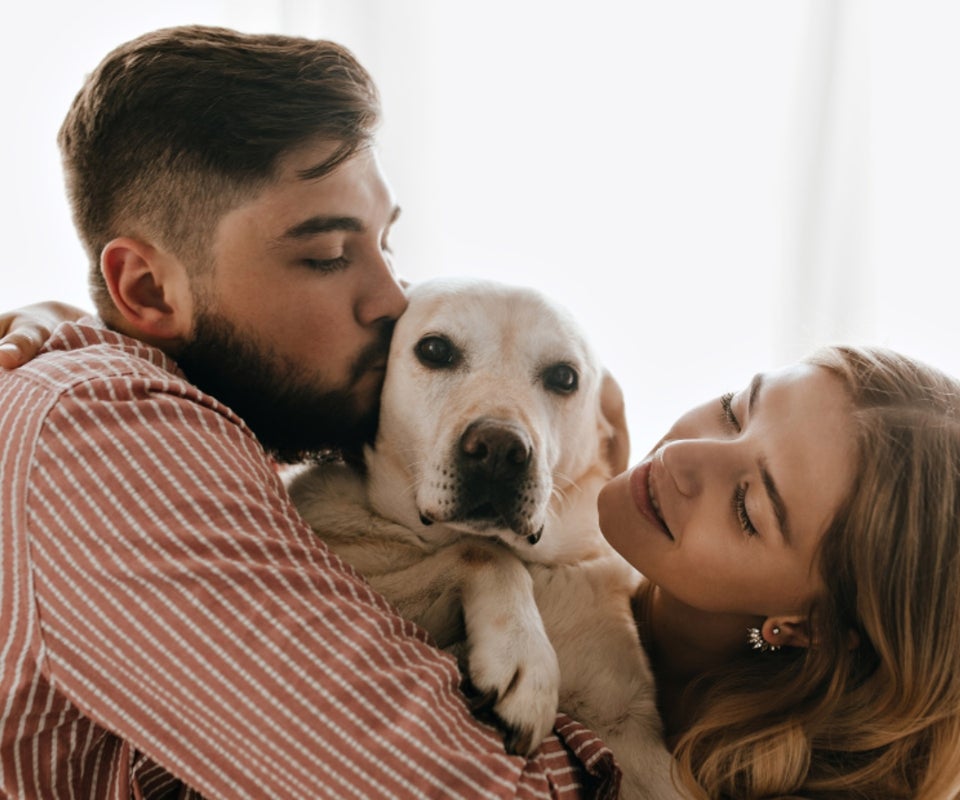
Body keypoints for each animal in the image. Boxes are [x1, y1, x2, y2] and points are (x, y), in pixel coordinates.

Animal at [284, 278, 684, 796]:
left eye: (564, 377)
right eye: (434, 350)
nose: (498, 451)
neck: (537, 565)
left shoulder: (628, 733)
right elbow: (483, 551)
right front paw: (523, 656)